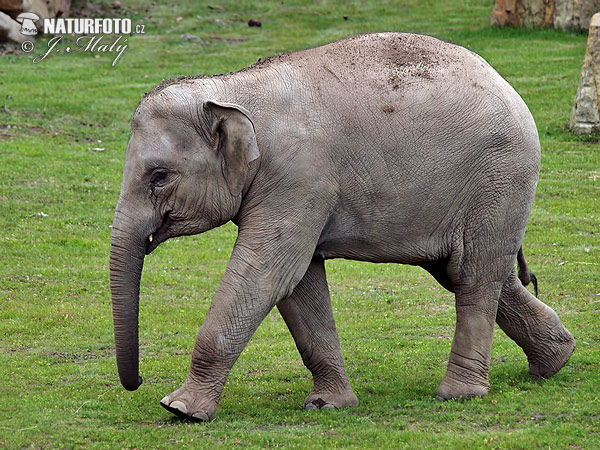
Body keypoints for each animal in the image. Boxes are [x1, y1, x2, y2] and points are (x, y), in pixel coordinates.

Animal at [110, 32, 576, 422]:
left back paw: (459, 394)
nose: (136, 383)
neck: (230, 88)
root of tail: (506, 83)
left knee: (474, 276)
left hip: (501, 177)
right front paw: (327, 404)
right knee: (467, 271)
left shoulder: (300, 178)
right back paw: (555, 360)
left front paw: (180, 409)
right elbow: (299, 285)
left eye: (159, 177)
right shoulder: (297, 190)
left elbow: (268, 274)